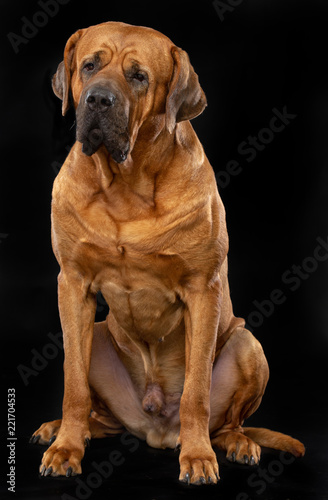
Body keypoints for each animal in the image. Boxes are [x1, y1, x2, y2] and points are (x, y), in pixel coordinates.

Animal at [30, 20, 304, 484]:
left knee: (227, 421)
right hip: (99, 336)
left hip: (247, 344)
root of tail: (155, 427)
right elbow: (73, 385)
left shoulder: (202, 290)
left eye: (139, 77)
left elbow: (196, 392)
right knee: (101, 413)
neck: (126, 186)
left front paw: (198, 458)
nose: (97, 100)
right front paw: (66, 448)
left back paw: (234, 444)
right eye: (89, 66)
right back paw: (65, 429)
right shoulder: (73, 283)